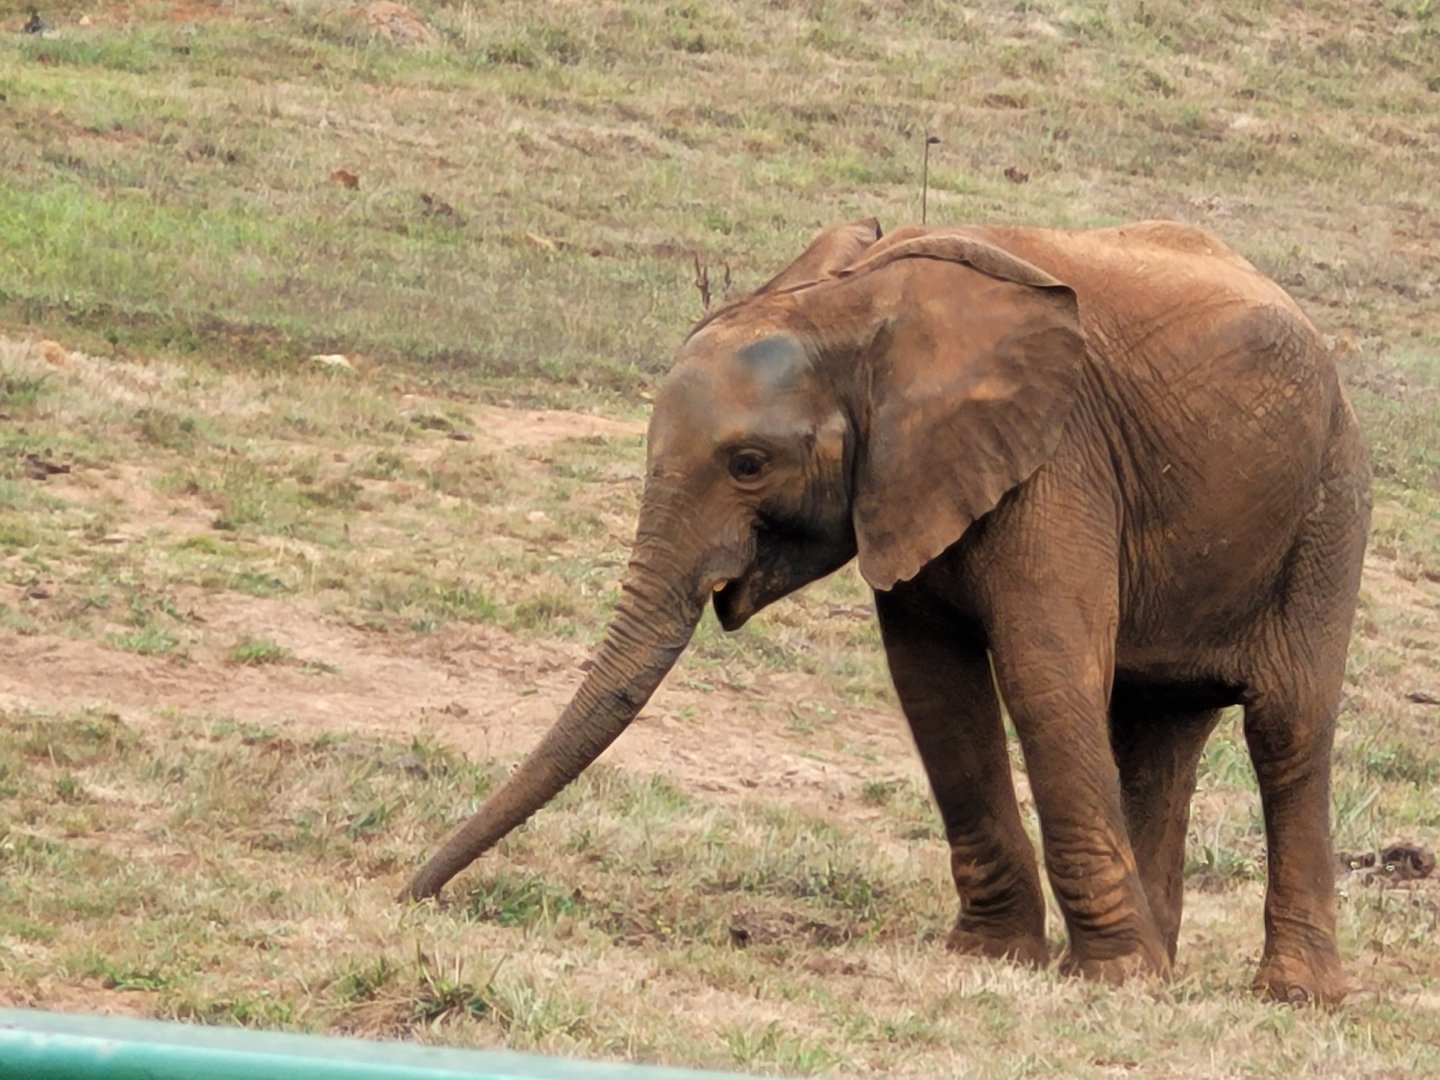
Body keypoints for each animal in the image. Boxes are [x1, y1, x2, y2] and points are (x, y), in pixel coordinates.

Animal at [403, 218, 1371, 1006]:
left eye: (749, 464)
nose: (411, 895)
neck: (849, 307)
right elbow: (935, 687)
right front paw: (999, 960)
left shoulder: (1057, 461)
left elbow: (1043, 673)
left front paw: (1113, 982)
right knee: (1156, 731)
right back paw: (1166, 965)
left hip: (1331, 501)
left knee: (1285, 725)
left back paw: (1290, 996)